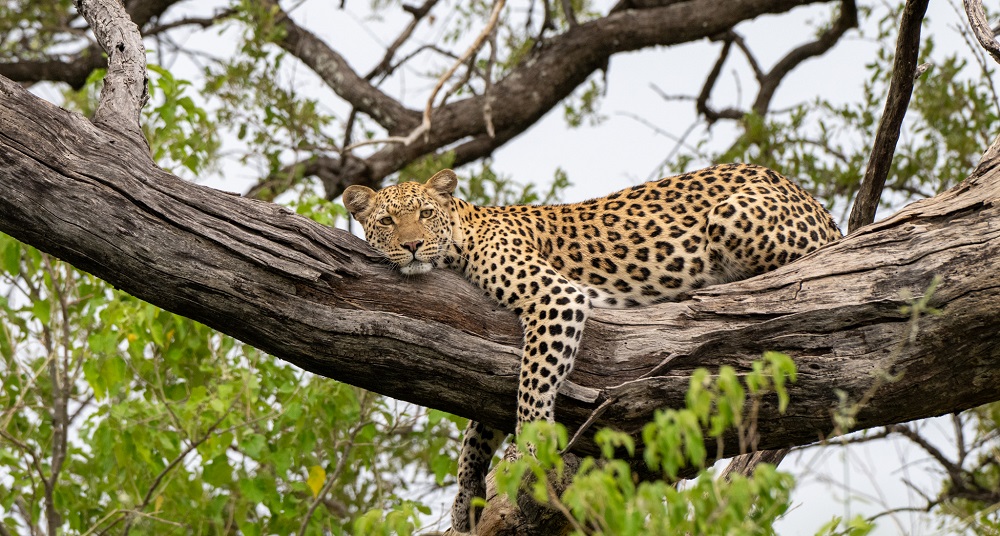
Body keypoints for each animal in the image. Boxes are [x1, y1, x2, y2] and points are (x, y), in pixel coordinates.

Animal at [343, 163, 841, 532]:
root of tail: (814, 202)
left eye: (425, 213)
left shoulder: (557, 298)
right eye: (387, 221)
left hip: (733, 216)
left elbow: (531, 383)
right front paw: (466, 495)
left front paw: (529, 450)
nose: (412, 245)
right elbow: (477, 427)